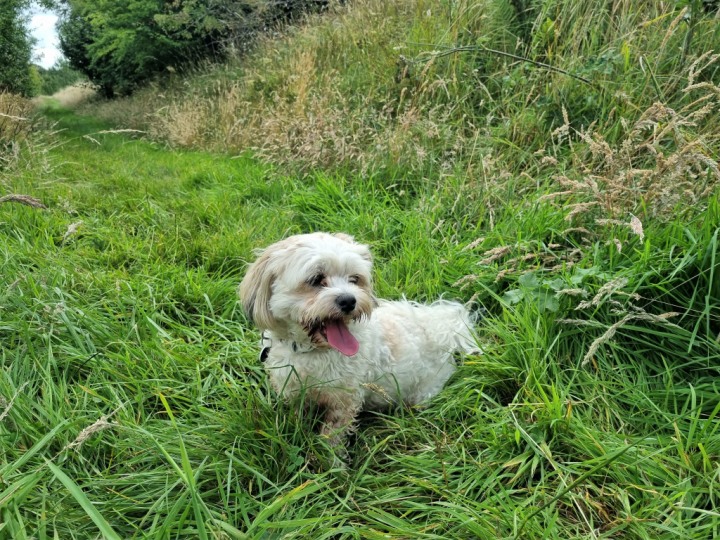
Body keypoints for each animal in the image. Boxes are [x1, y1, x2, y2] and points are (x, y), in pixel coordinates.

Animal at [239, 232, 478, 447]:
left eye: (354, 279)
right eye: (316, 279)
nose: (349, 300)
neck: (312, 350)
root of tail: (442, 328)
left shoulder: (344, 400)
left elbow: (332, 435)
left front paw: (330, 461)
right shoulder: (293, 390)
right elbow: (299, 416)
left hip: (424, 391)